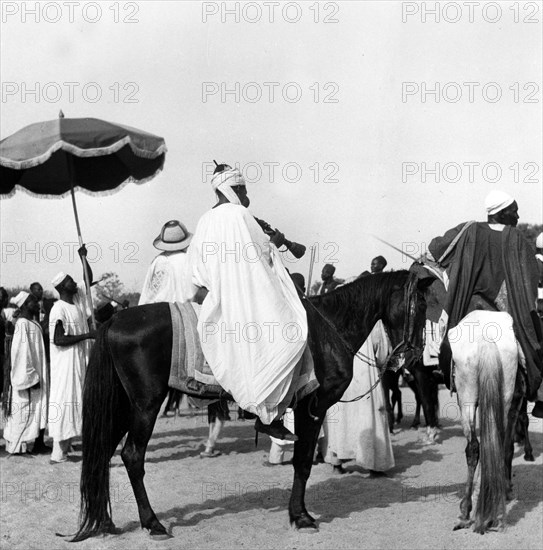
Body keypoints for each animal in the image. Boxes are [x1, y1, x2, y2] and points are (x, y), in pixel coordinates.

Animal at [72, 272, 432, 544]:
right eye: (421, 305)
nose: (414, 357)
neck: (328, 329)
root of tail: (114, 320)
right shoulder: (312, 408)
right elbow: (302, 463)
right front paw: (300, 516)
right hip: (145, 405)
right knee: (132, 455)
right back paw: (153, 523)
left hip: (123, 406)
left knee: (103, 452)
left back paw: (105, 522)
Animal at [448, 312, 524, 536]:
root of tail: (486, 336)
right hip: (505, 392)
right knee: (498, 442)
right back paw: (494, 511)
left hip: (467, 396)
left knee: (474, 448)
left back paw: (466, 512)